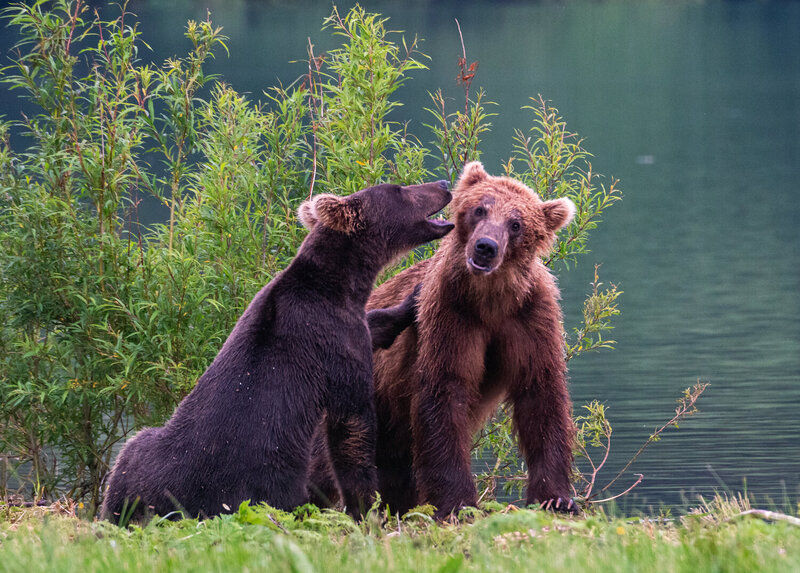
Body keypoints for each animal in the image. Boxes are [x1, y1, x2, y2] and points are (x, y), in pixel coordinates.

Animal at [100, 180, 454, 524]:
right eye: (399, 190)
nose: (443, 183)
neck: (339, 285)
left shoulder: (342, 323)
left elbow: (375, 325)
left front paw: (412, 298)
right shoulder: (331, 342)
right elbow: (352, 424)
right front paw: (366, 508)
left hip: (139, 463)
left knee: (130, 455)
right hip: (266, 467)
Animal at [311, 162, 578, 519]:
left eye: (517, 223)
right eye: (480, 209)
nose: (485, 247)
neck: (491, 301)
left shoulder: (530, 318)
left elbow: (540, 394)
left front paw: (557, 497)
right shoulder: (451, 315)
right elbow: (445, 389)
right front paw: (458, 502)